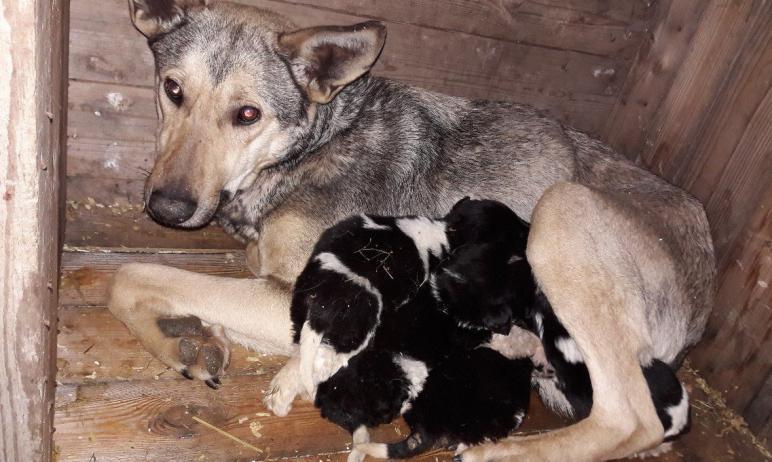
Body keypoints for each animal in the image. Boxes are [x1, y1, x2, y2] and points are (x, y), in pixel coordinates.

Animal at [110, 1, 716, 460]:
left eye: (247, 115)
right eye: (173, 90)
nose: (166, 206)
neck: (317, 141)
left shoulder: (299, 296)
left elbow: (132, 275)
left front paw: (170, 339)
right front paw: (196, 339)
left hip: (560, 210)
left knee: (632, 419)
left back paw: (502, 453)